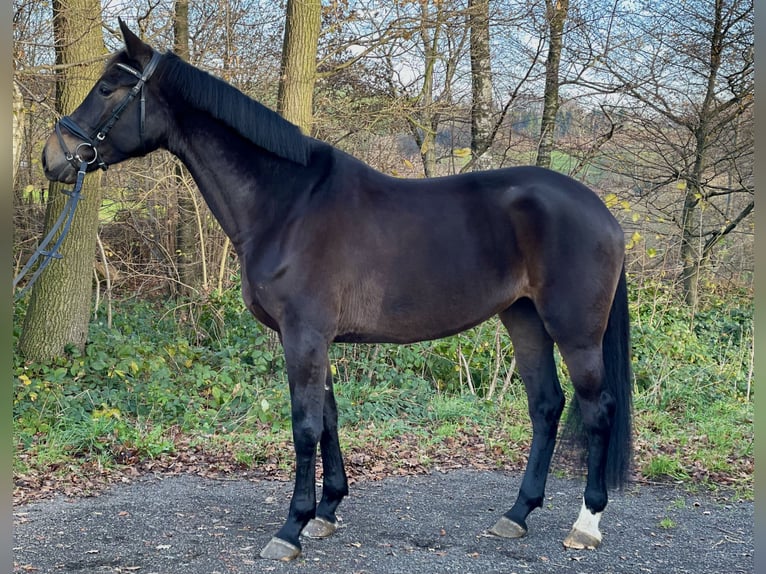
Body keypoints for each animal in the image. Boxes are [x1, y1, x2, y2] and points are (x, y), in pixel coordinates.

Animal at [40, 21, 636, 564]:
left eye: (108, 89)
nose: (54, 157)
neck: (288, 204)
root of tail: (602, 212)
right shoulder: (312, 338)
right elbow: (327, 418)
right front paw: (325, 512)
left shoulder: (303, 336)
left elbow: (304, 426)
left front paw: (291, 529)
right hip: (524, 318)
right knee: (546, 406)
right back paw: (516, 515)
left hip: (575, 332)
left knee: (597, 408)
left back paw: (586, 523)